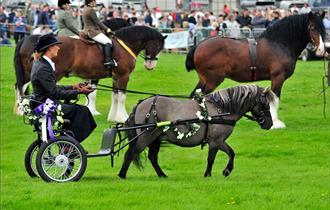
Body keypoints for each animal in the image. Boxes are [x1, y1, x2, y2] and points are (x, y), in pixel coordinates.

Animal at [14, 25, 166, 122]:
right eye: (159, 46)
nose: (150, 65)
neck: (123, 45)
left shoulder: (115, 77)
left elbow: (114, 96)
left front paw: (112, 117)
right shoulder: (123, 76)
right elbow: (121, 97)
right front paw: (122, 118)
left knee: (21, 86)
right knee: (25, 88)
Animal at [118, 84, 274, 178]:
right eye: (264, 103)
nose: (270, 124)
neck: (221, 109)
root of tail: (141, 104)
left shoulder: (217, 142)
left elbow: (227, 154)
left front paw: (218, 172)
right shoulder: (216, 141)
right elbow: (219, 156)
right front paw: (220, 172)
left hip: (155, 139)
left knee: (152, 157)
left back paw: (162, 175)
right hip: (145, 137)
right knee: (131, 154)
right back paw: (122, 175)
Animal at [184, 12, 326, 129]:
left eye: (323, 28)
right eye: (312, 27)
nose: (321, 50)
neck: (279, 44)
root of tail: (198, 46)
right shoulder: (278, 78)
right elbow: (274, 99)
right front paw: (275, 123)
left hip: (205, 80)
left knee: (195, 96)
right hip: (212, 80)